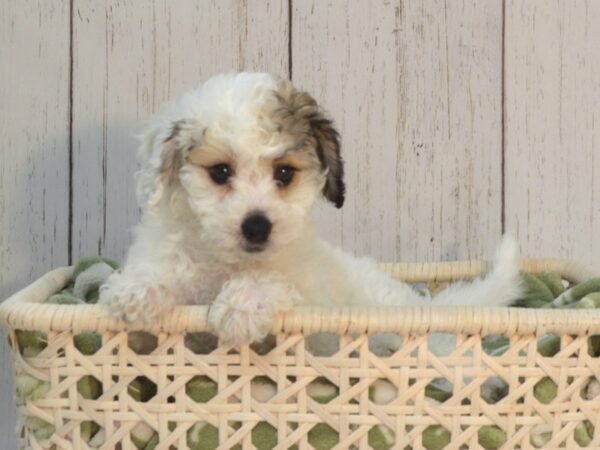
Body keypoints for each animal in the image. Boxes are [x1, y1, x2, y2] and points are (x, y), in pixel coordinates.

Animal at [98, 73, 520, 348]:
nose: (257, 227)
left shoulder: (304, 287)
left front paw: (242, 304)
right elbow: (163, 268)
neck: (228, 263)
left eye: (285, 173)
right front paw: (137, 290)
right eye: (220, 172)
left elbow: (273, 282)